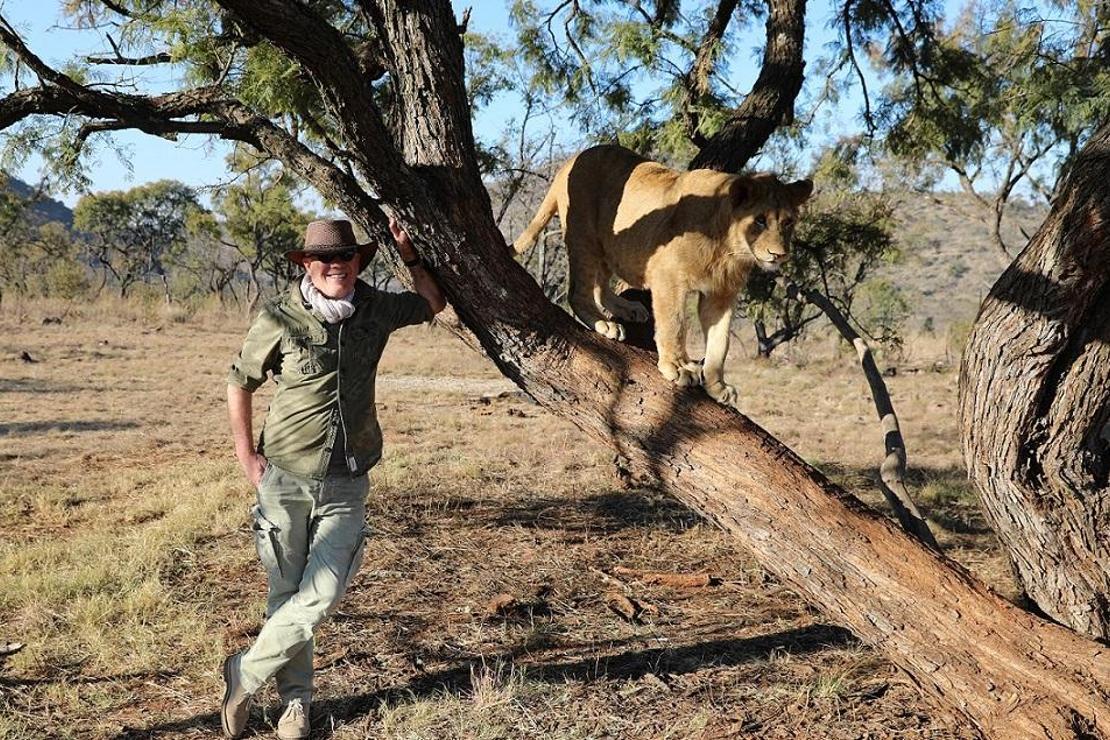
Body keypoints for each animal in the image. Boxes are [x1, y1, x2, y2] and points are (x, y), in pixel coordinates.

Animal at [512, 144, 816, 406]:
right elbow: (675, 324)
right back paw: (604, 324)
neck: (728, 250)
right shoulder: (669, 278)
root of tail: (571, 160)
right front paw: (678, 366)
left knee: (601, 287)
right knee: (579, 292)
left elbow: (721, 342)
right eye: (760, 221)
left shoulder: (720, 295)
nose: (779, 254)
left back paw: (628, 308)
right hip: (584, 236)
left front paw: (717, 385)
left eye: (788, 223)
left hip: (610, 246)